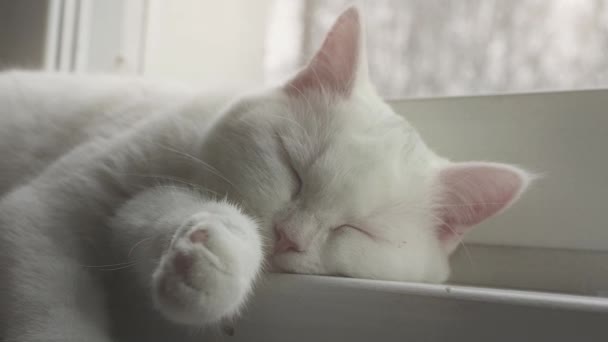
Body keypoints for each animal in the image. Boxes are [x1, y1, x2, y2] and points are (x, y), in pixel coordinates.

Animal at [0, 6, 528, 342]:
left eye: (358, 230)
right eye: (293, 168)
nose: (290, 236)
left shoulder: (139, 207)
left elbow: (172, 216)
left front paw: (209, 265)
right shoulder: (44, 212)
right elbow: (50, 312)